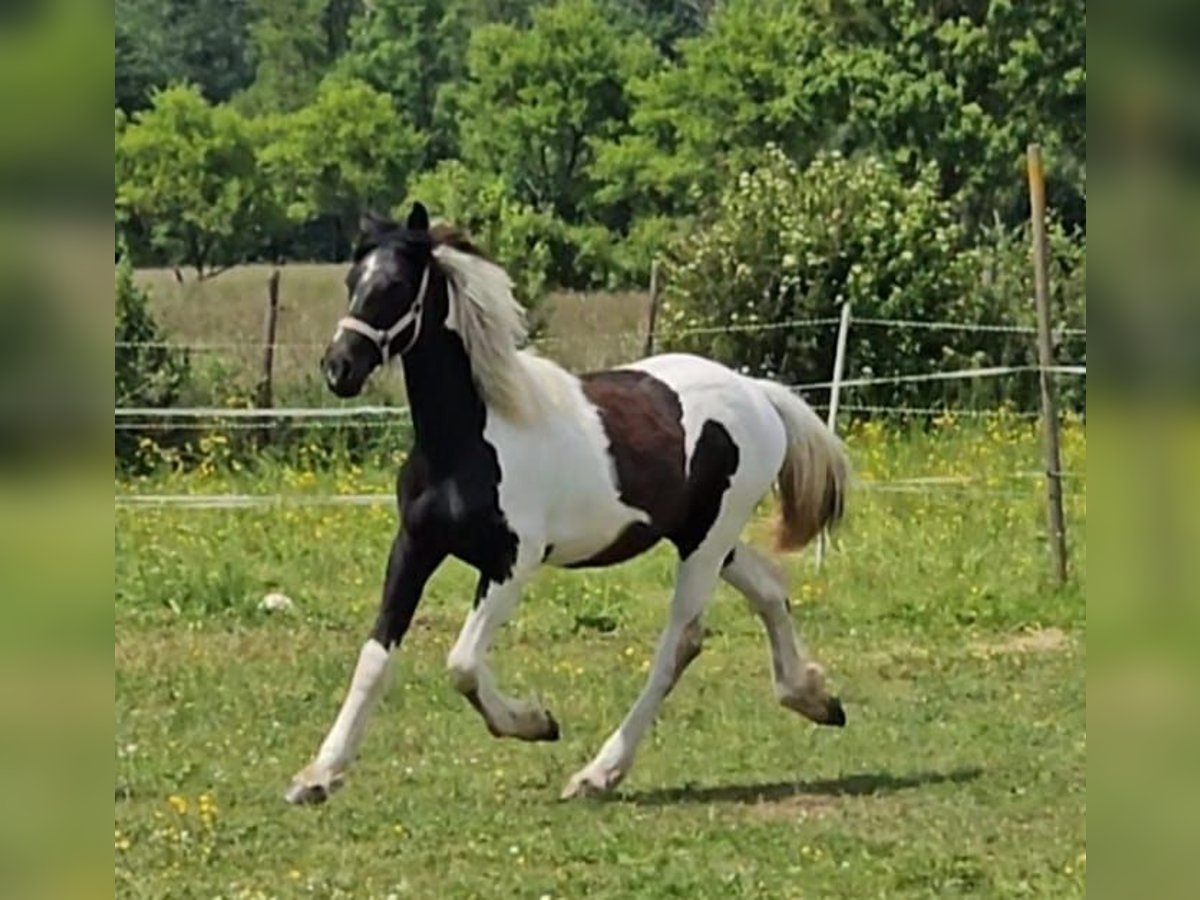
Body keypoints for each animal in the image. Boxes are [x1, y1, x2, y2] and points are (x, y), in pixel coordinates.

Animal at [285, 202, 850, 804]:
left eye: (394, 285)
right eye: (352, 282)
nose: (339, 368)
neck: (472, 438)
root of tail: (759, 394)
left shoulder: (513, 562)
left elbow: (462, 663)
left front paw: (535, 723)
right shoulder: (415, 546)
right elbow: (375, 656)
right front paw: (317, 776)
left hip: (707, 541)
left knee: (681, 642)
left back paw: (597, 773)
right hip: (703, 536)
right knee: (768, 592)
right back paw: (815, 698)